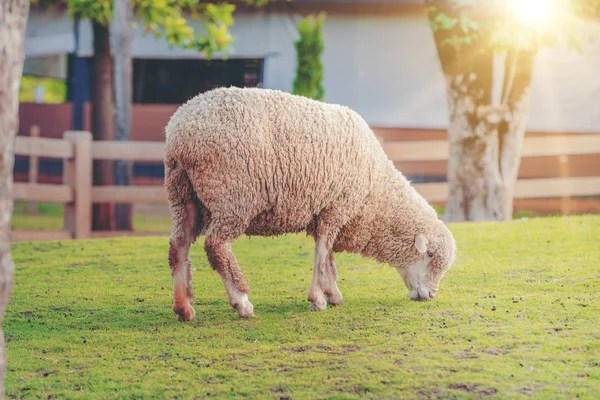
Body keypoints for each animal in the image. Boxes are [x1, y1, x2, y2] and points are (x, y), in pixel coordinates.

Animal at [164, 87, 454, 322]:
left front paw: (332, 293)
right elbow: (322, 255)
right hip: (232, 196)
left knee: (178, 245)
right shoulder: (337, 207)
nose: (430, 295)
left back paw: (183, 307)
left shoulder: (329, 211)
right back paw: (242, 302)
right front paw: (318, 299)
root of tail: (178, 133)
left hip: (184, 196)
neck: (376, 193)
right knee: (216, 246)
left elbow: (329, 259)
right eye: (429, 255)